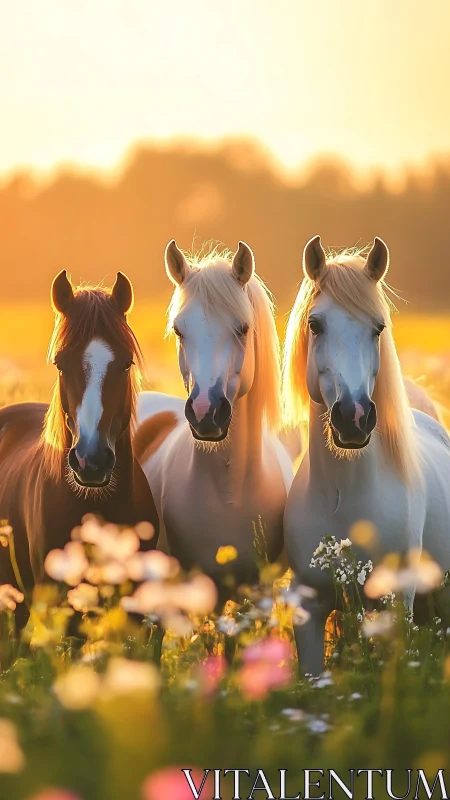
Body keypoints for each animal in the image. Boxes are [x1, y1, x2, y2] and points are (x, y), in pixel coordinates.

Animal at [282, 235, 450, 675]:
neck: (345, 497)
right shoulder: (309, 608)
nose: (354, 417)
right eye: (315, 324)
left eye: (378, 328)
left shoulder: (397, 604)